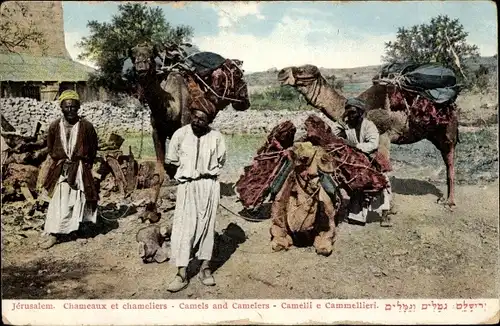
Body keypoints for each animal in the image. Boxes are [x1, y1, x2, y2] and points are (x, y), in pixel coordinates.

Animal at [125, 42, 250, 216]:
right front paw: (151, 210)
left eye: (150, 56)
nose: (141, 68)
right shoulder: (157, 133)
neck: (169, 107)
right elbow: (160, 172)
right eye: (133, 56)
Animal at [280, 64, 458, 206]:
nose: (281, 72)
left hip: (447, 132)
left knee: (450, 161)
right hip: (434, 134)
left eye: (302, 70)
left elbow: (385, 167)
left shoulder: (383, 135)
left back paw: (449, 201)